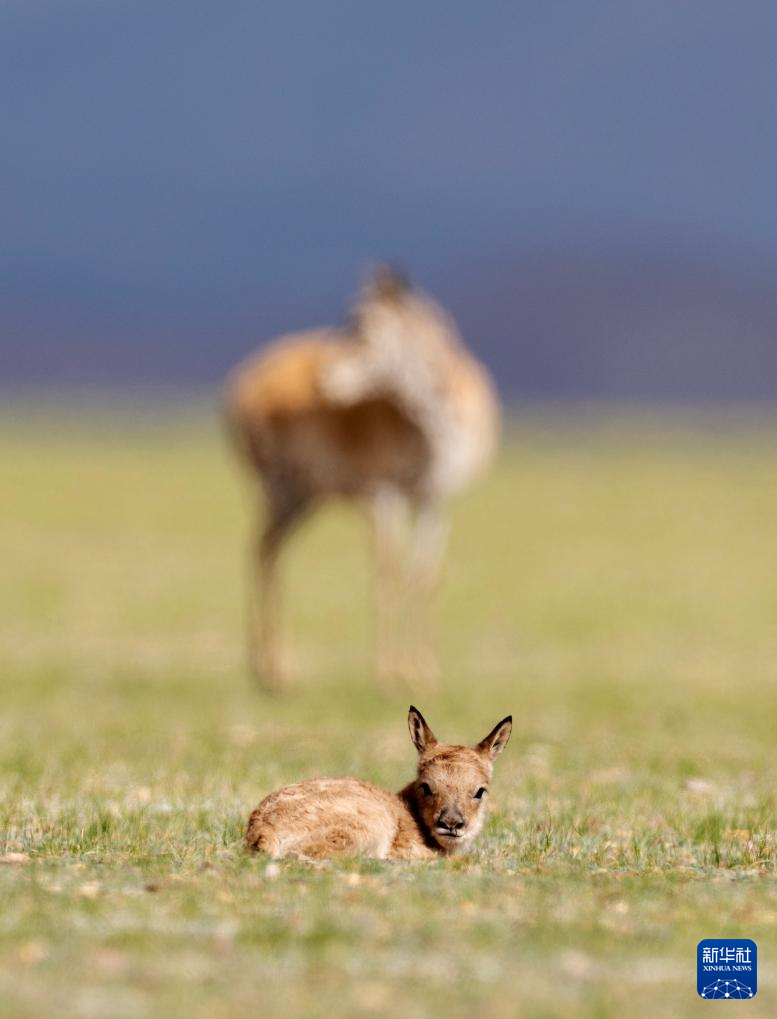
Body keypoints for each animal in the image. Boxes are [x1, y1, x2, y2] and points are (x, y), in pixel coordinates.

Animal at [224, 268, 500, 688]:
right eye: (349, 323)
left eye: (363, 330)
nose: (322, 379)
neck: (433, 425)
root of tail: (243, 382)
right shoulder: (384, 495)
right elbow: (388, 574)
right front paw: (389, 672)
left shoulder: (435, 501)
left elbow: (424, 578)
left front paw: (425, 670)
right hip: (281, 488)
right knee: (264, 551)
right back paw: (274, 668)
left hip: (306, 496)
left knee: (266, 550)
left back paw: (269, 666)